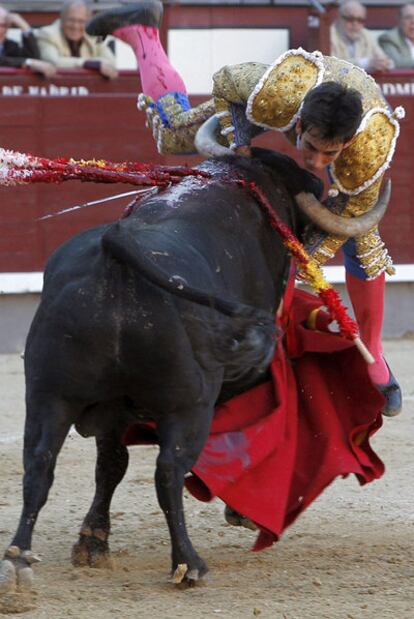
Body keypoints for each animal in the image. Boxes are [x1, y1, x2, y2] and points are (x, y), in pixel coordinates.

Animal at [0, 148, 324, 588]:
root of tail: (115, 254)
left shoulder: (111, 409)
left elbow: (110, 465)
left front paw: (92, 543)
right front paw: (240, 511)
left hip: (48, 393)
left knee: (39, 462)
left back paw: (18, 558)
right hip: (187, 406)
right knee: (168, 470)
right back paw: (189, 564)